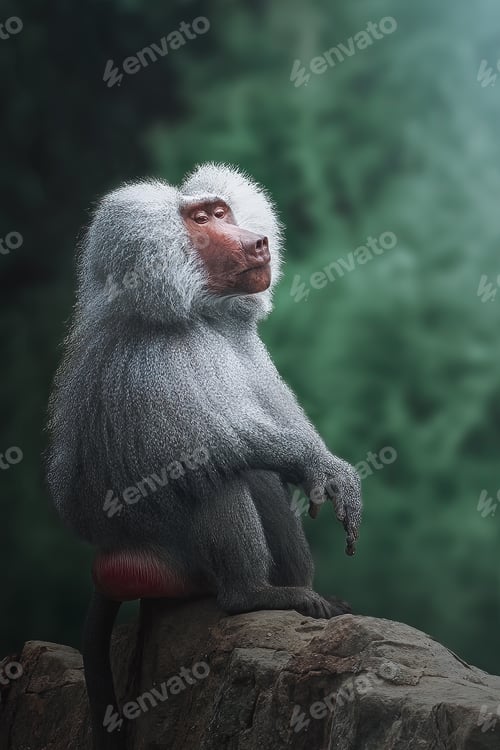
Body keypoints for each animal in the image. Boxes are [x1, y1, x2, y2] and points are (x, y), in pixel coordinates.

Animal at [46, 163, 362, 749]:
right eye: (199, 220)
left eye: (221, 211)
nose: (257, 242)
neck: (200, 313)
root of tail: (113, 559)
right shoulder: (153, 359)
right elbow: (199, 449)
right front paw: (323, 467)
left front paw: (331, 470)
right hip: (163, 548)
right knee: (213, 476)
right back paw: (252, 595)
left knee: (260, 480)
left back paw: (306, 596)